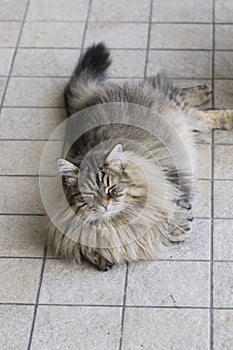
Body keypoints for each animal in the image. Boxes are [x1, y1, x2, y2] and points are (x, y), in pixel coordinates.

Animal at [46, 41, 233, 270]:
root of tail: (87, 101)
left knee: (171, 90)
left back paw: (206, 94)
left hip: (177, 109)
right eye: (89, 195)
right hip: (191, 122)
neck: (116, 222)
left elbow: (170, 209)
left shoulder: (169, 179)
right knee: (197, 110)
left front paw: (180, 227)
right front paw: (100, 257)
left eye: (111, 188)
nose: (104, 205)